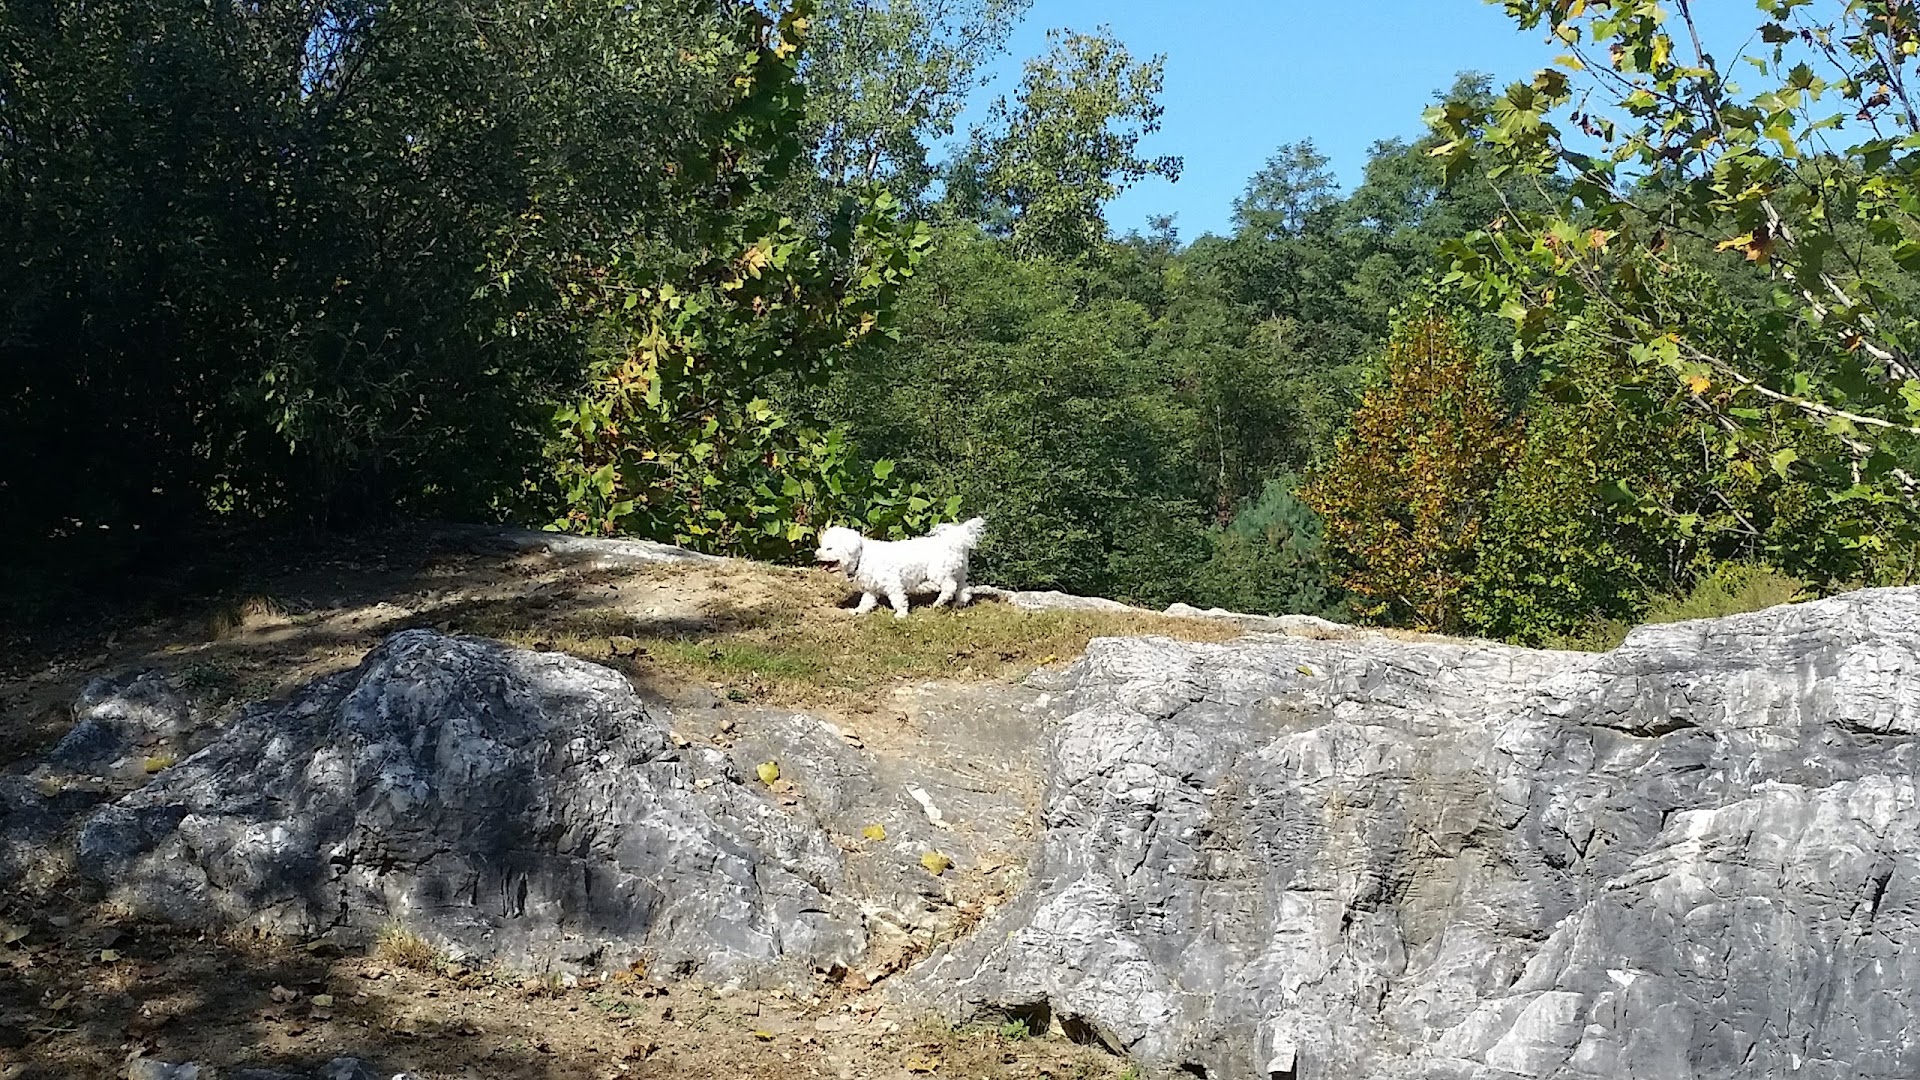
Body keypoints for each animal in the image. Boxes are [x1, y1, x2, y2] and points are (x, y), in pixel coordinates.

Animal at [814, 518, 990, 618]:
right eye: (822, 546)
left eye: (829, 548)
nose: (816, 554)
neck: (862, 555)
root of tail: (955, 540)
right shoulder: (872, 588)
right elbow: (866, 602)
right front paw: (858, 611)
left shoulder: (893, 584)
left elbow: (898, 599)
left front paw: (901, 614)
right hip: (959, 571)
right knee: (963, 588)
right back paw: (960, 602)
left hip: (939, 572)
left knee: (949, 587)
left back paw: (938, 603)